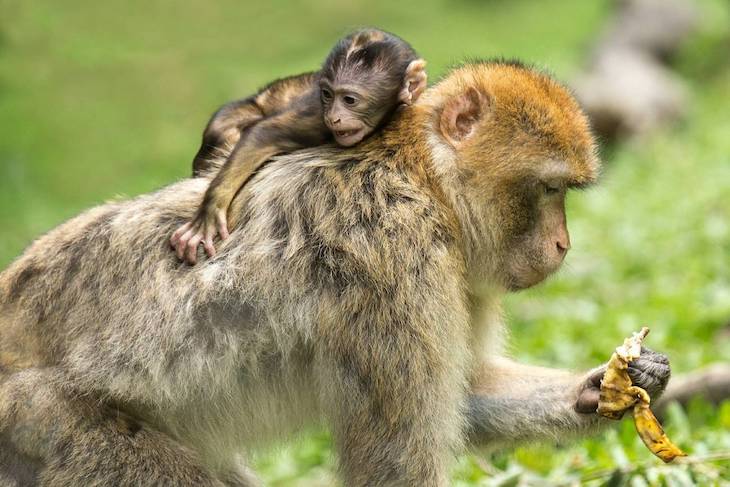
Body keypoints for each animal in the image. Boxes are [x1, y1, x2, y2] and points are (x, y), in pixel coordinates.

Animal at [0, 60, 671, 486]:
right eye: (551, 189)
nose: (562, 243)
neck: (422, 178)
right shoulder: (394, 256)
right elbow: (397, 465)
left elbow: (466, 393)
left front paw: (608, 385)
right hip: (39, 422)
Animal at [171, 29, 428, 264]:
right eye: (327, 95)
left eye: (349, 100)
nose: (334, 117)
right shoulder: (316, 118)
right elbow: (263, 135)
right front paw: (209, 213)